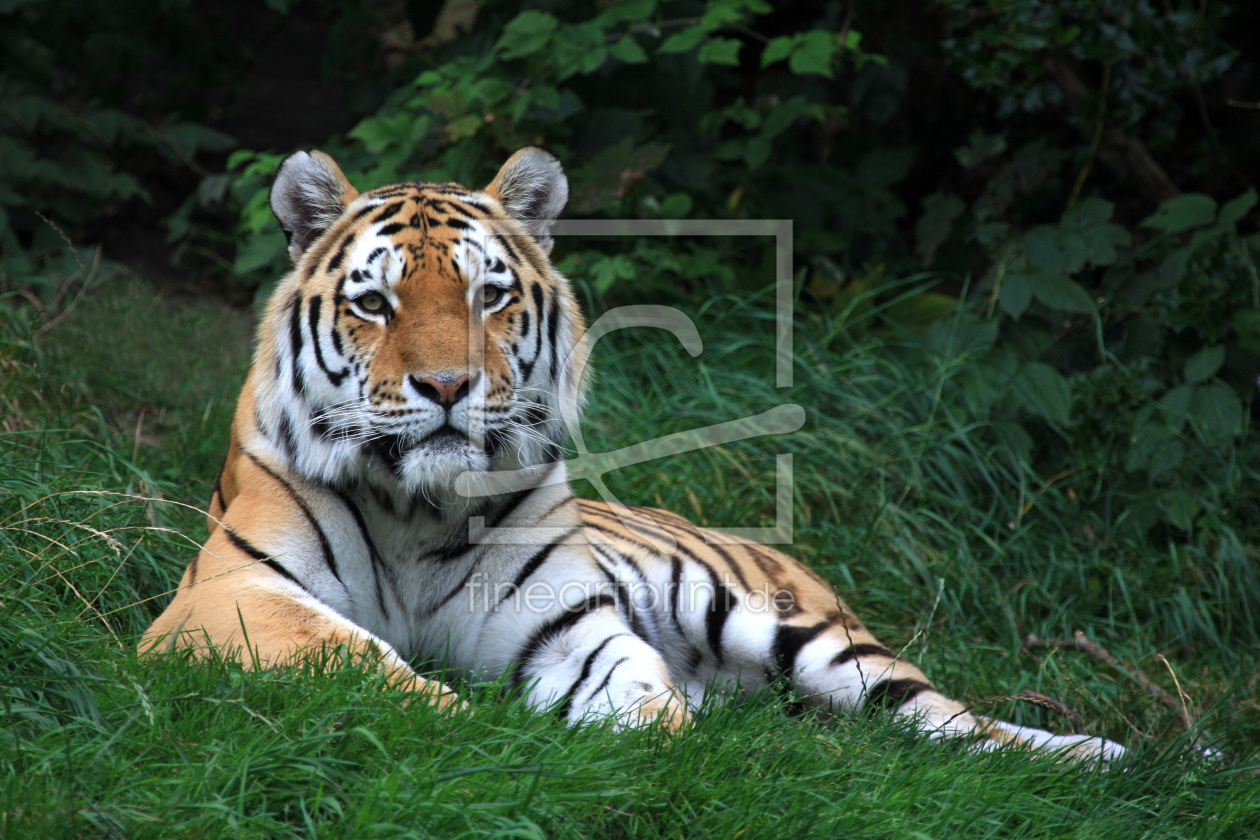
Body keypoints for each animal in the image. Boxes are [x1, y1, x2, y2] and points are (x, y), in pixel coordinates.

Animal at [143, 144, 1128, 760]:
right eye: (375, 304)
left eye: (489, 296)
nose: (449, 386)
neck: (418, 508)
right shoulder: (228, 597)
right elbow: (353, 656)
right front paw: (466, 729)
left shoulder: (563, 622)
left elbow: (634, 684)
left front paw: (655, 743)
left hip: (794, 629)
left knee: (947, 719)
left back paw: (1103, 756)